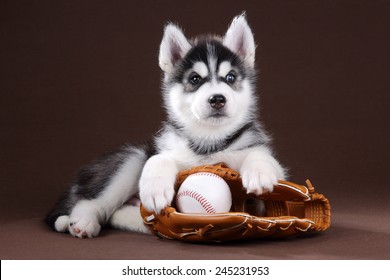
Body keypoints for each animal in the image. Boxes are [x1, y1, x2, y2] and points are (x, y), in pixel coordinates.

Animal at [45, 12, 286, 236]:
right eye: (195, 79)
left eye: (231, 77)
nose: (217, 99)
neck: (208, 142)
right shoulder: (165, 149)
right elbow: (159, 159)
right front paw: (155, 188)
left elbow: (262, 157)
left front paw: (260, 172)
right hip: (130, 159)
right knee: (91, 200)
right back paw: (82, 221)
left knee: (119, 214)